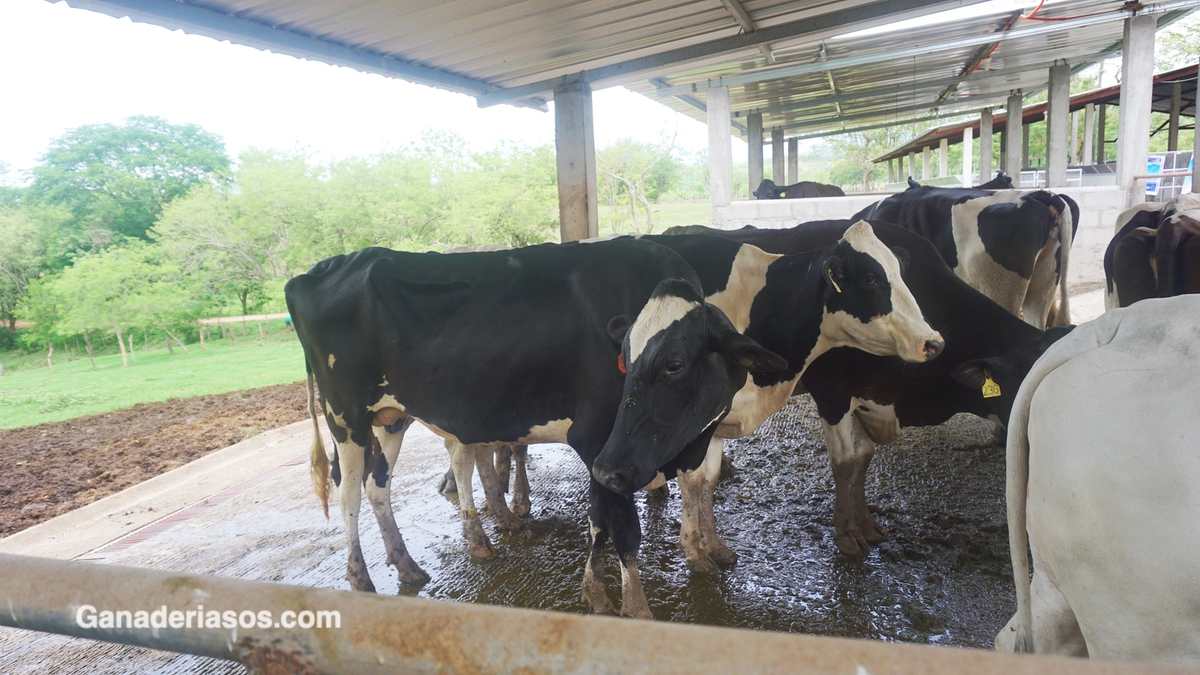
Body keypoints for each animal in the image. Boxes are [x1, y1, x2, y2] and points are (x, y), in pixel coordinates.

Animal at [284, 236, 782, 614]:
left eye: (674, 364)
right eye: (625, 357)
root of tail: (323, 267)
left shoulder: (616, 453)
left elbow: (598, 521)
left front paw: (594, 592)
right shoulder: (599, 444)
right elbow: (621, 527)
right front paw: (635, 607)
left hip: (390, 417)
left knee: (377, 486)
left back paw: (405, 564)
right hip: (345, 415)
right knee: (348, 493)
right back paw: (361, 578)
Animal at [676, 220, 1080, 557]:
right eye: (1032, 394)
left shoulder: (868, 399)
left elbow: (863, 458)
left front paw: (866, 524)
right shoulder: (833, 391)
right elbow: (844, 462)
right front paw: (847, 534)